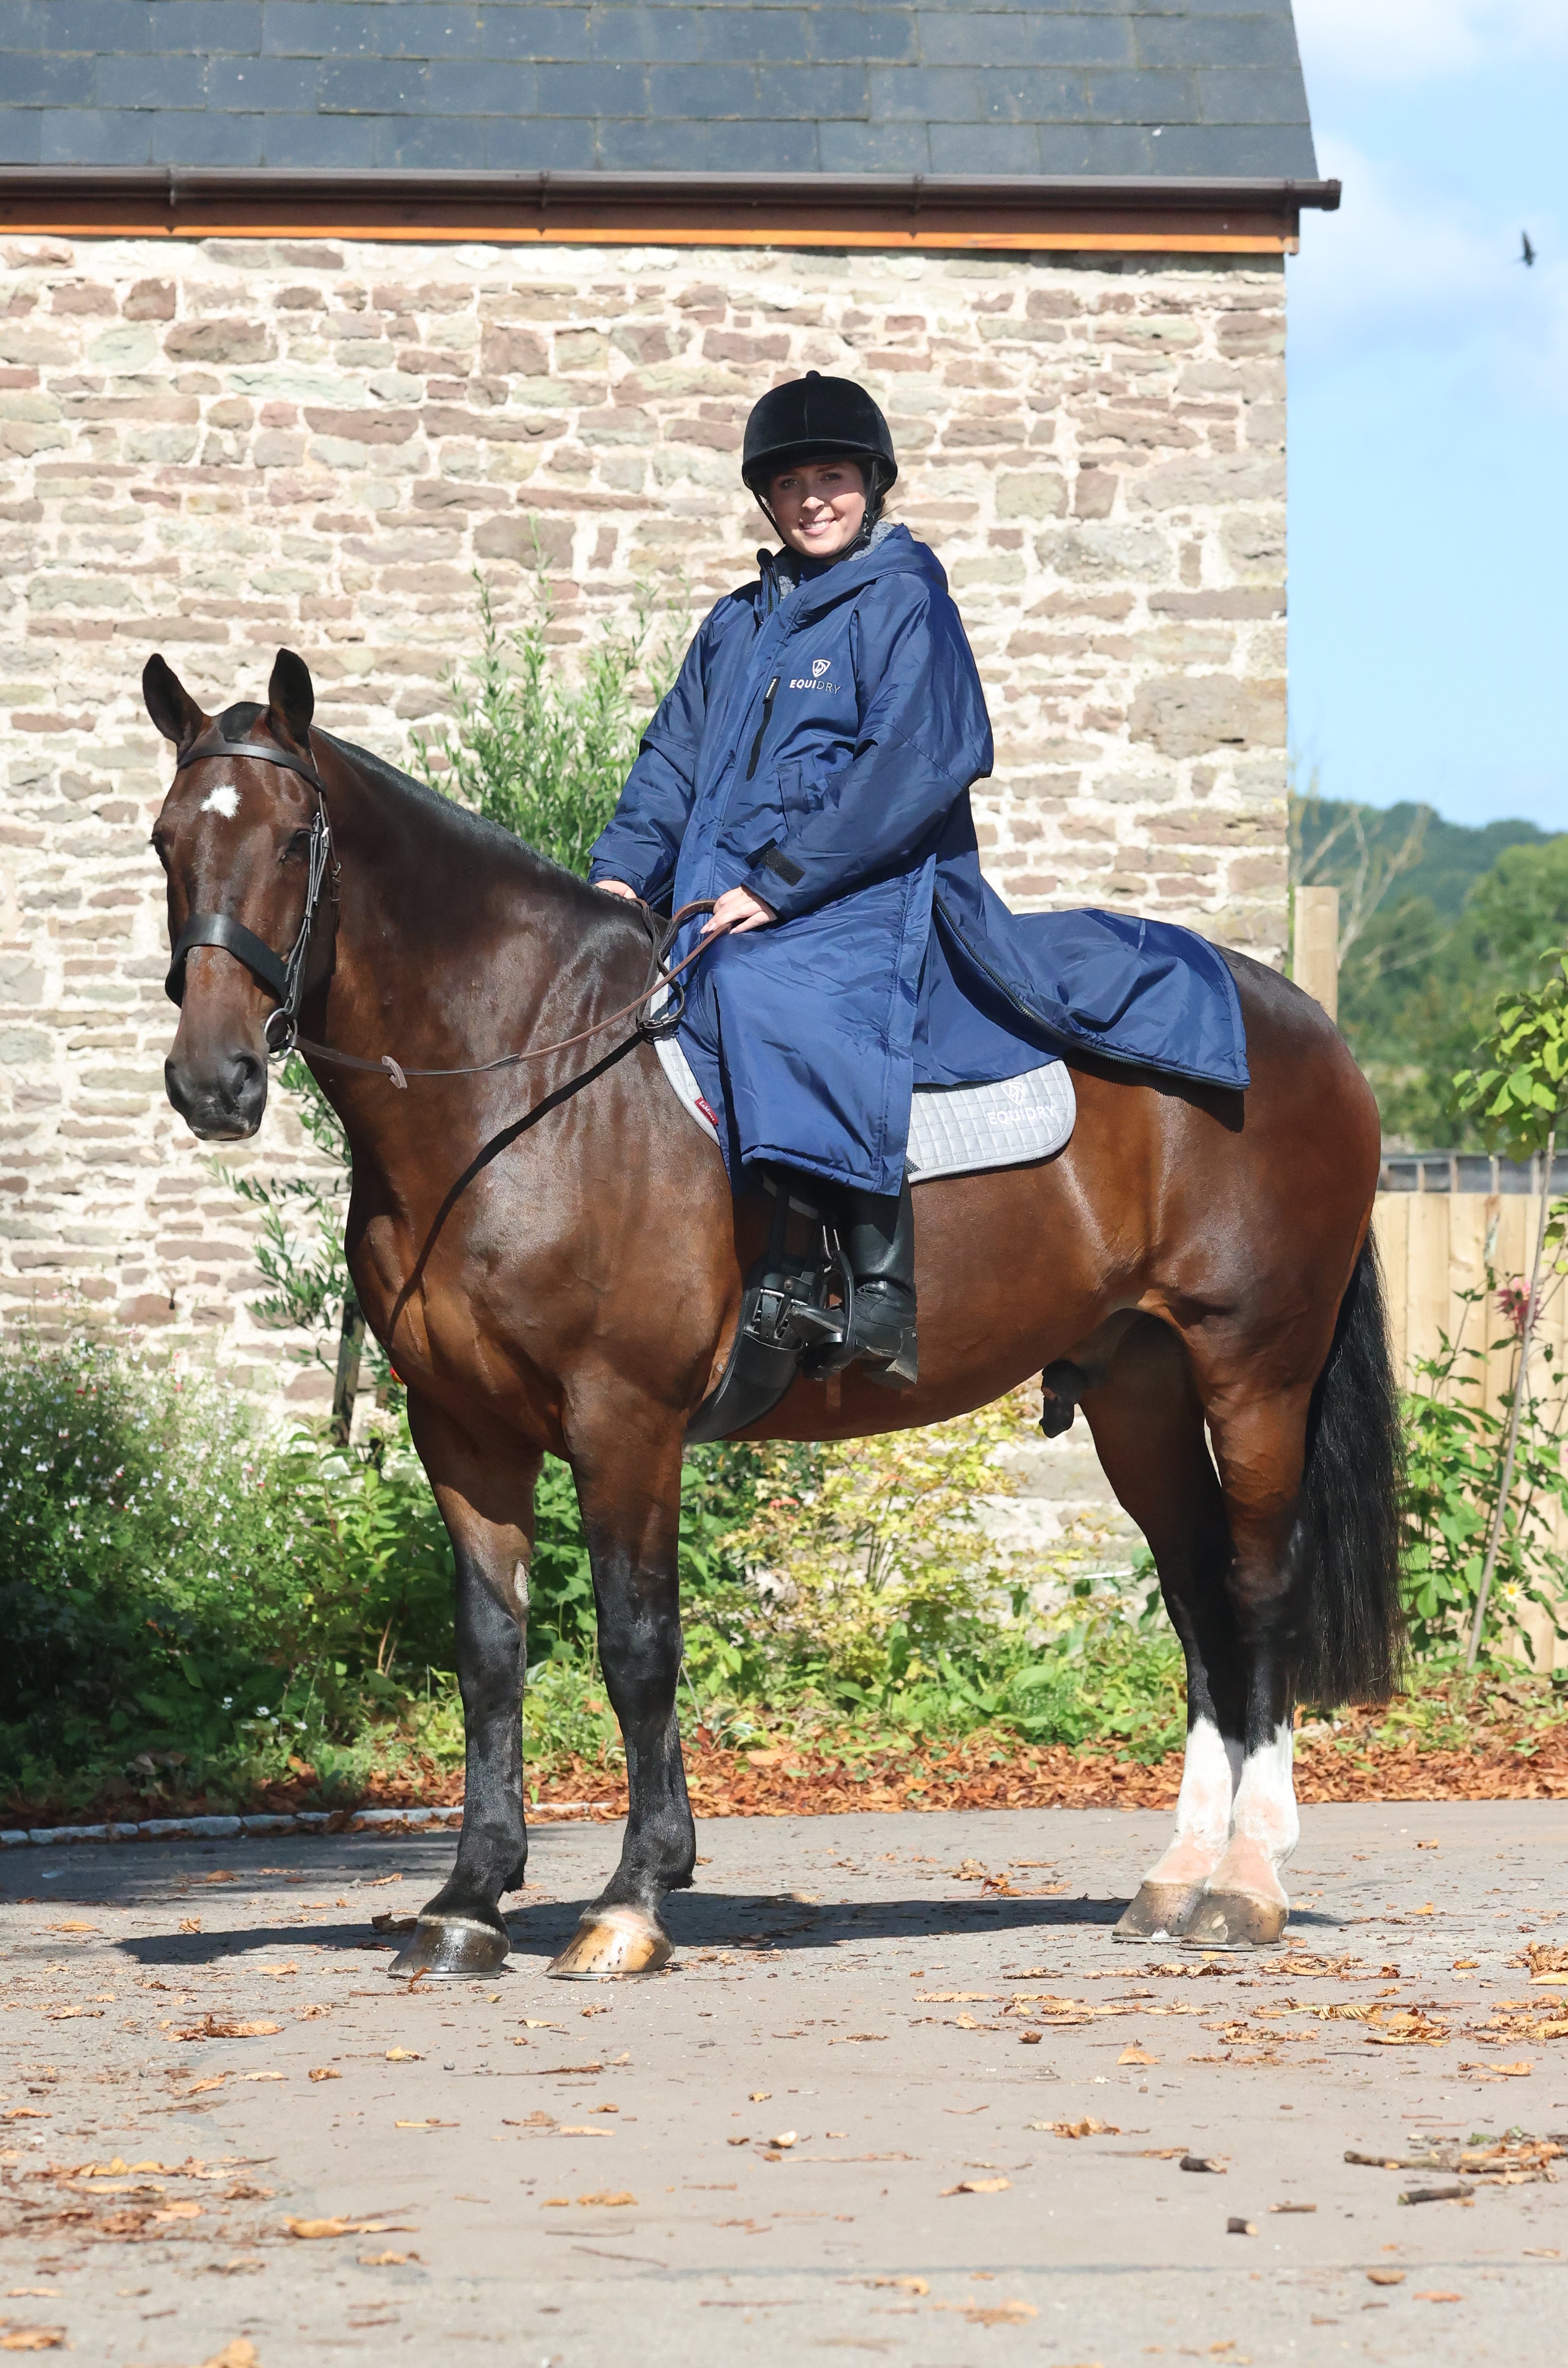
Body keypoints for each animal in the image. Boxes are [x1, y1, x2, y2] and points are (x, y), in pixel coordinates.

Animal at [144, 647, 1403, 1979]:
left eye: (294, 841)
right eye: (167, 839)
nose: (213, 1081)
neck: (529, 1078)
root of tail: (1302, 1024)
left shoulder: (624, 1420)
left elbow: (637, 1646)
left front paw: (634, 1896)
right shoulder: (463, 1430)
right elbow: (490, 1654)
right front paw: (468, 1899)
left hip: (1252, 1373)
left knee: (1259, 1587)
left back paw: (1248, 1880)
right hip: (1139, 1391)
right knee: (1198, 1595)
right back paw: (1176, 1878)